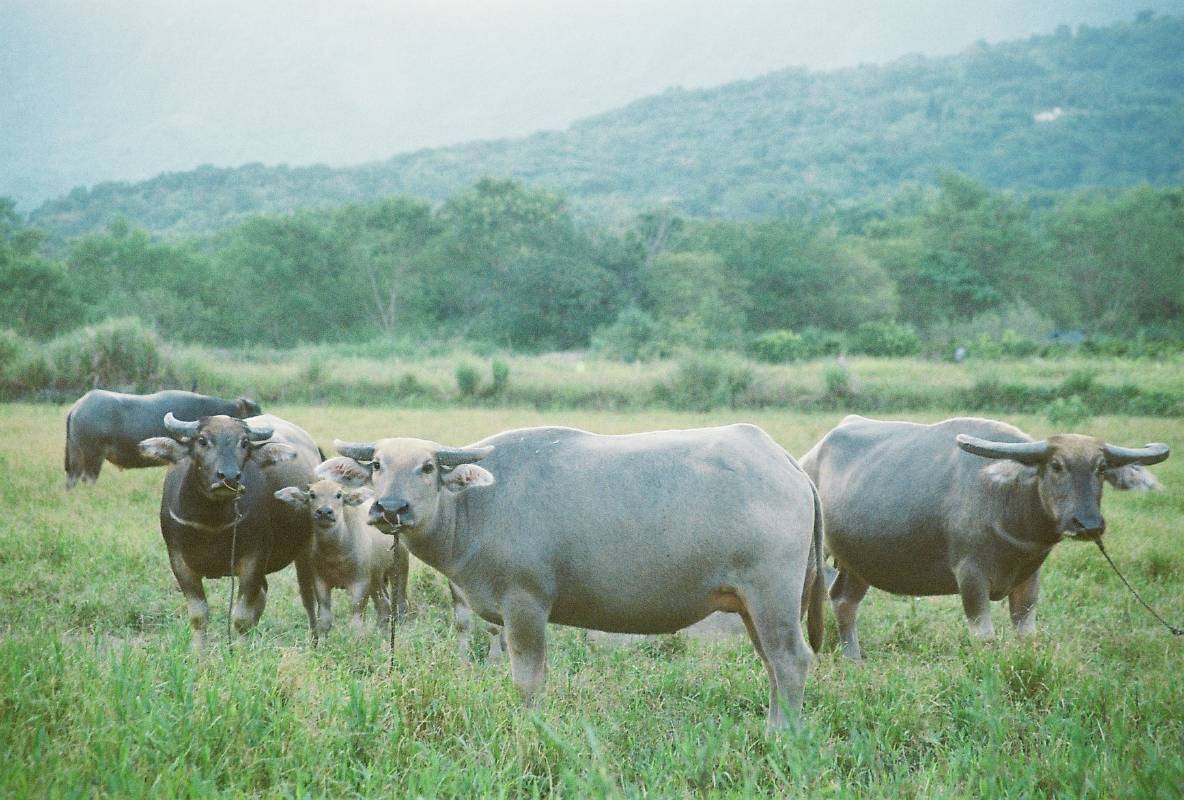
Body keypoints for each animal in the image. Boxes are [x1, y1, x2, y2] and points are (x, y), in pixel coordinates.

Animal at [64, 388, 261, 487]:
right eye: (254, 413)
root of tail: (77, 407)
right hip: (93, 455)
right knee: (88, 478)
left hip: (76, 454)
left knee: (72, 478)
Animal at [138, 411, 322, 648]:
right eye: (202, 440)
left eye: (244, 443)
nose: (229, 477)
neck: (210, 523)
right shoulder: (178, 560)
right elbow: (199, 616)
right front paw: (199, 654)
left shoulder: (254, 559)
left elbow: (241, 617)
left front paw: (241, 652)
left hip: (306, 549)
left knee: (308, 598)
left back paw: (315, 643)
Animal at [273, 478, 412, 639]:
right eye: (312, 495)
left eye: (338, 495)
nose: (324, 512)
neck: (336, 555)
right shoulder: (320, 581)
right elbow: (325, 619)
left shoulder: (360, 581)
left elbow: (356, 619)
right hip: (376, 577)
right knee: (384, 604)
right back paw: (382, 633)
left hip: (399, 567)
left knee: (401, 604)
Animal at [319, 426, 828, 728]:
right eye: (378, 466)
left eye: (426, 468)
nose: (391, 508)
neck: (475, 507)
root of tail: (788, 465)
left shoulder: (525, 604)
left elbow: (528, 679)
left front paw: (530, 728)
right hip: (751, 605)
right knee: (772, 665)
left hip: (772, 597)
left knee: (790, 661)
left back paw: (784, 736)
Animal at [800, 416, 1169, 657]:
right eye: (1056, 466)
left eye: (1101, 468)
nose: (1088, 524)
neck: (1009, 502)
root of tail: (808, 460)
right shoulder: (970, 574)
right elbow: (985, 638)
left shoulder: (1029, 577)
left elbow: (1026, 634)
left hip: (859, 562)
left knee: (844, 600)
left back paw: (854, 659)